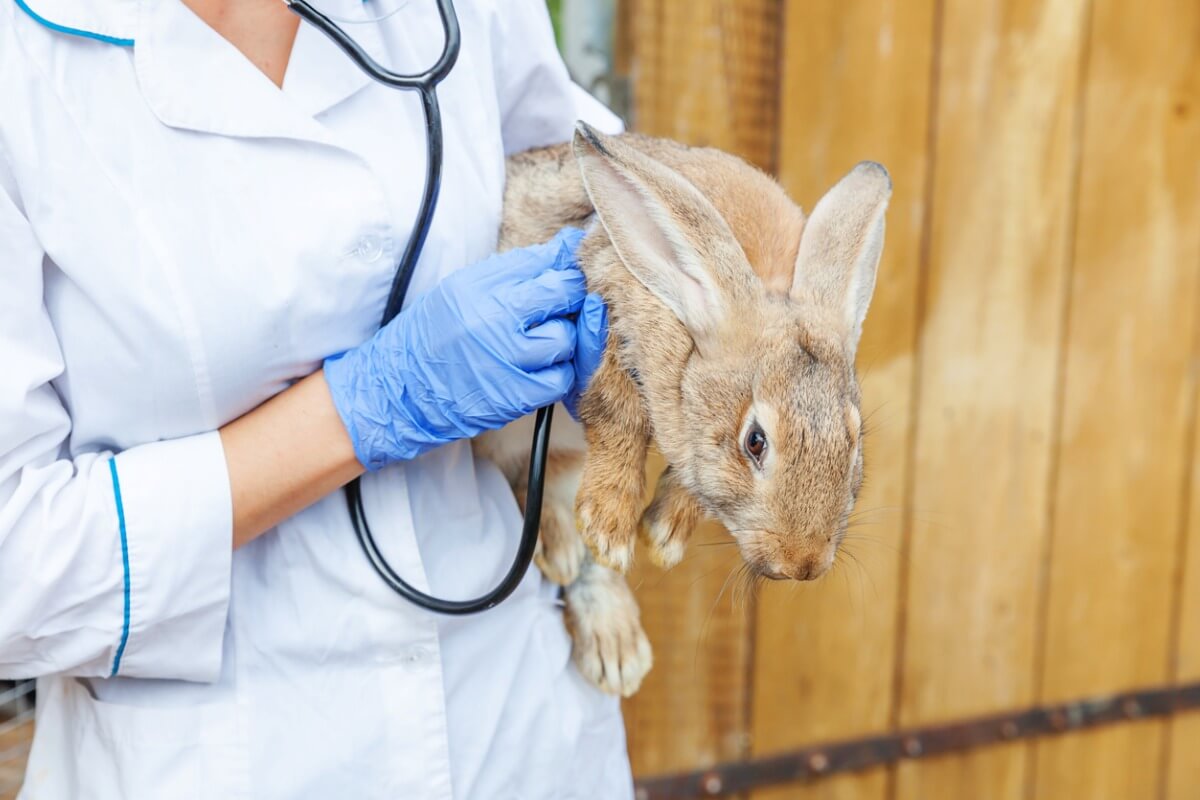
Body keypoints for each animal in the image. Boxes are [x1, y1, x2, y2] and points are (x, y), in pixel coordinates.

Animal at [474, 123, 891, 697]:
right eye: (755, 442)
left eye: (853, 443)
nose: (802, 563)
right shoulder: (604, 310)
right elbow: (618, 412)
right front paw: (610, 528)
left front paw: (663, 535)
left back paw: (615, 646)